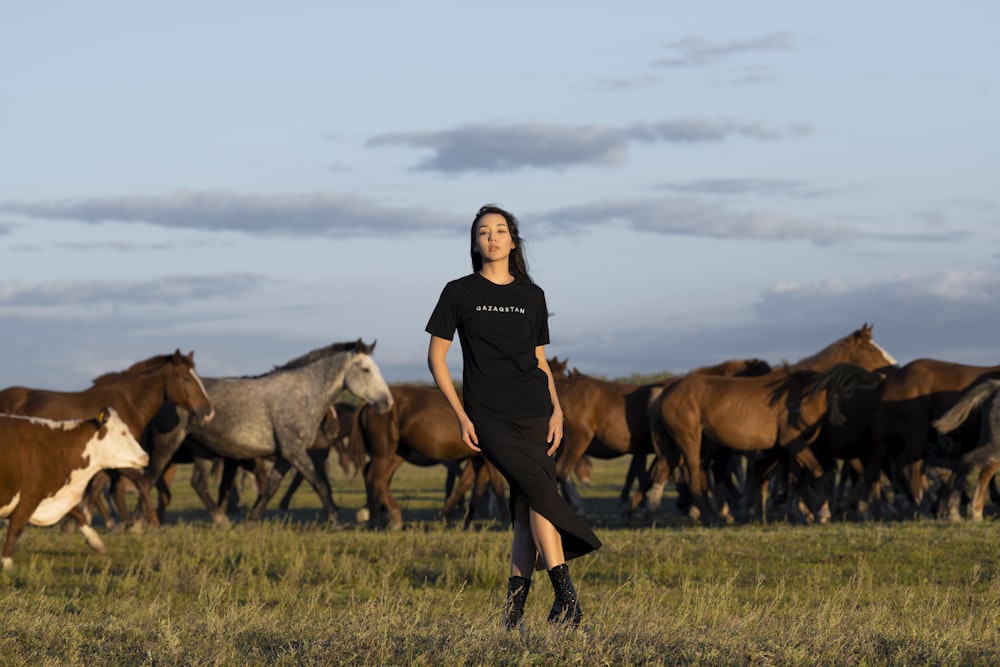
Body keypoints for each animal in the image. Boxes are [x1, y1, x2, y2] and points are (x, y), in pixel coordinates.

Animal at [0, 352, 215, 536]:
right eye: (185, 378)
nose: (208, 411)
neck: (129, 404)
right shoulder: (118, 459)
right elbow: (140, 484)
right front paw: (148, 524)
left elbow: (98, 491)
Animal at [0, 408, 148, 568]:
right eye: (123, 432)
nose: (146, 456)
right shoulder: (30, 497)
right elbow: (15, 528)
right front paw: (7, 562)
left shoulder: (57, 495)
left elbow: (79, 513)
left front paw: (96, 542)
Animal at [146, 342, 392, 528]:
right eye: (366, 369)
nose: (387, 402)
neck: (300, 395)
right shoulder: (295, 452)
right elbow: (318, 483)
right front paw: (335, 521)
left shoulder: (286, 456)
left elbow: (271, 487)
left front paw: (253, 519)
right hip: (168, 444)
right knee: (150, 477)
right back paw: (144, 523)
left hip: (202, 451)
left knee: (198, 483)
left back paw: (220, 520)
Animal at [350, 386, 508, 532]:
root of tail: (368, 404)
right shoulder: (485, 459)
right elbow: (495, 484)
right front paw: (507, 522)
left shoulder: (478, 458)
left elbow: (475, 487)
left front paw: (465, 522)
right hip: (383, 454)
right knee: (374, 478)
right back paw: (375, 522)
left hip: (398, 453)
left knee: (380, 479)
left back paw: (391, 518)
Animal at [648, 324, 900, 528]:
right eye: (870, 349)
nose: (894, 371)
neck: (803, 390)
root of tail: (666, 391)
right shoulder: (792, 442)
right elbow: (816, 472)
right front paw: (822, 512)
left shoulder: (797, 446)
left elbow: (799, 478)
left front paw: (804, 512)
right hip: (689, 442)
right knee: (694, 477)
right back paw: (711, 517)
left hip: (684, 446)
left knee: (671, 473)